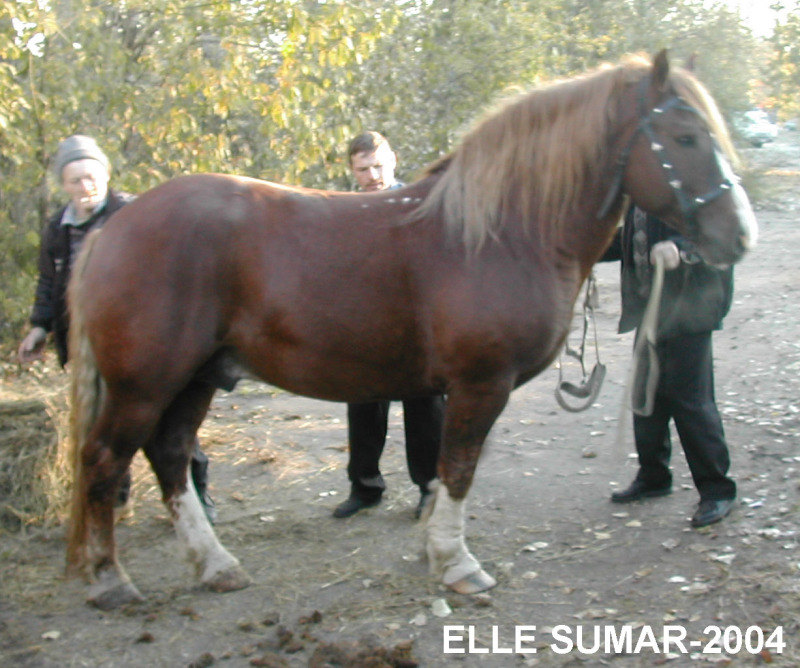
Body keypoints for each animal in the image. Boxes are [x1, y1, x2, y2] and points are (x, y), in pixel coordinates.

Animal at [64, 51, 756, 604]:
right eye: (685, 137)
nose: (741, 235)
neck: (502, 232)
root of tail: (112, 228)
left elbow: (447, 469)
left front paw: (436, 550)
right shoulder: (480, 384)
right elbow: (460, 467)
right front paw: (456, 564)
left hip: (197, 378)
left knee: (170, 457)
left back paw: (215, 566)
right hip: (145, 385)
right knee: (104, 460)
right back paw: (109, 581)